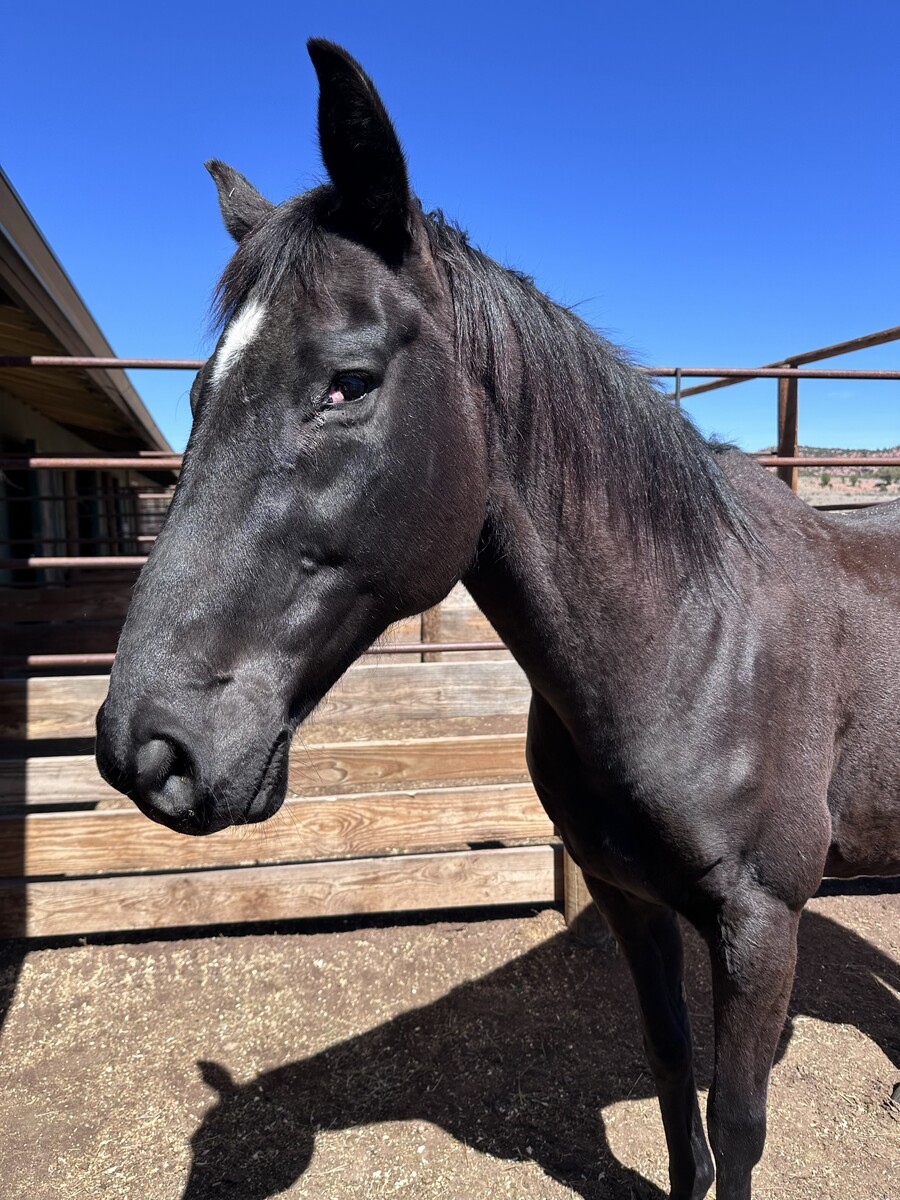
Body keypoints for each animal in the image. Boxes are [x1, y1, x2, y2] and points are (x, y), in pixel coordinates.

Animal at [95, 39, 900, 1200]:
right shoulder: (629, 900)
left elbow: (738, 1125)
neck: (695, 645)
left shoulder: (761, 924)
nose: (145, 748)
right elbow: (673, 1089)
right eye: (198, 396)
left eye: (347, 383)